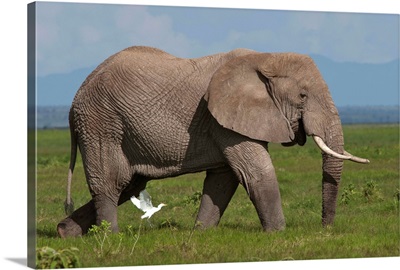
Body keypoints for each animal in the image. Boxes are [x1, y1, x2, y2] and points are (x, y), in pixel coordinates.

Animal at [57, 46, 368, 238]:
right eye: (303, 96)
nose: (324, 229)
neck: (266, 57)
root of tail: (73, 103)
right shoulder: (221, 116)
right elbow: (255, 171)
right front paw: (278, 234)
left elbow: (223, 179)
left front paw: (201, 233)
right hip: (101, 124)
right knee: (112, 182)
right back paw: (110, 237)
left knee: (131, 184)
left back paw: (66, 233)